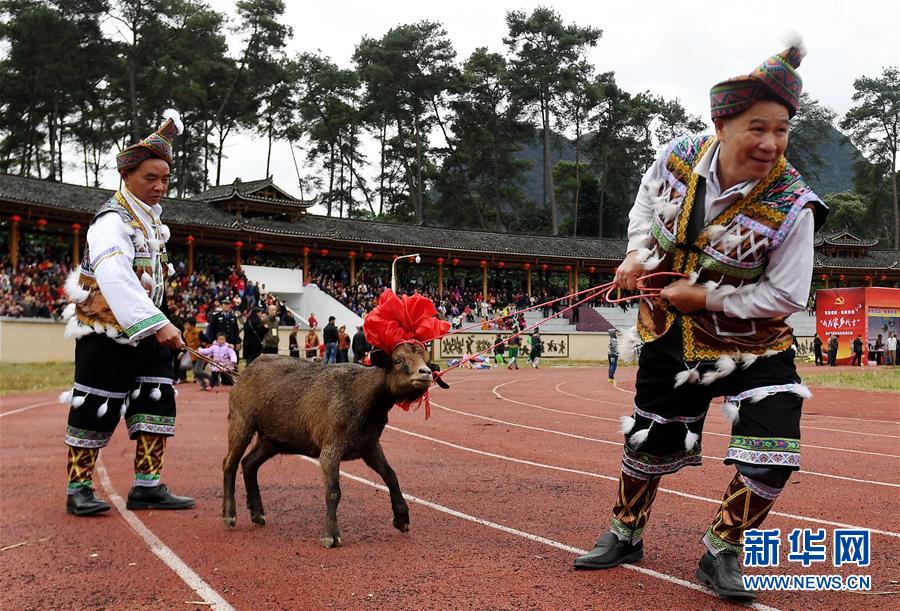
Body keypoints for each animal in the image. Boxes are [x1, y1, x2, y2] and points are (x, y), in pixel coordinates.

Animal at [221, 342, 440, 548]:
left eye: (427, 361)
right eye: (397, 360)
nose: (425, 373)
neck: (361, 397)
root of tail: (245, 371)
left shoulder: (369, 446)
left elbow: (391, 476)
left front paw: (402, 519)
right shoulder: (330, 449)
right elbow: (333, 491)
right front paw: (331, 536)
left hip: (272, 440)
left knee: (249, 464)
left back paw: (257, 514)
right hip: (242, 421)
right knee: (230, 463)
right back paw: (229, 514)